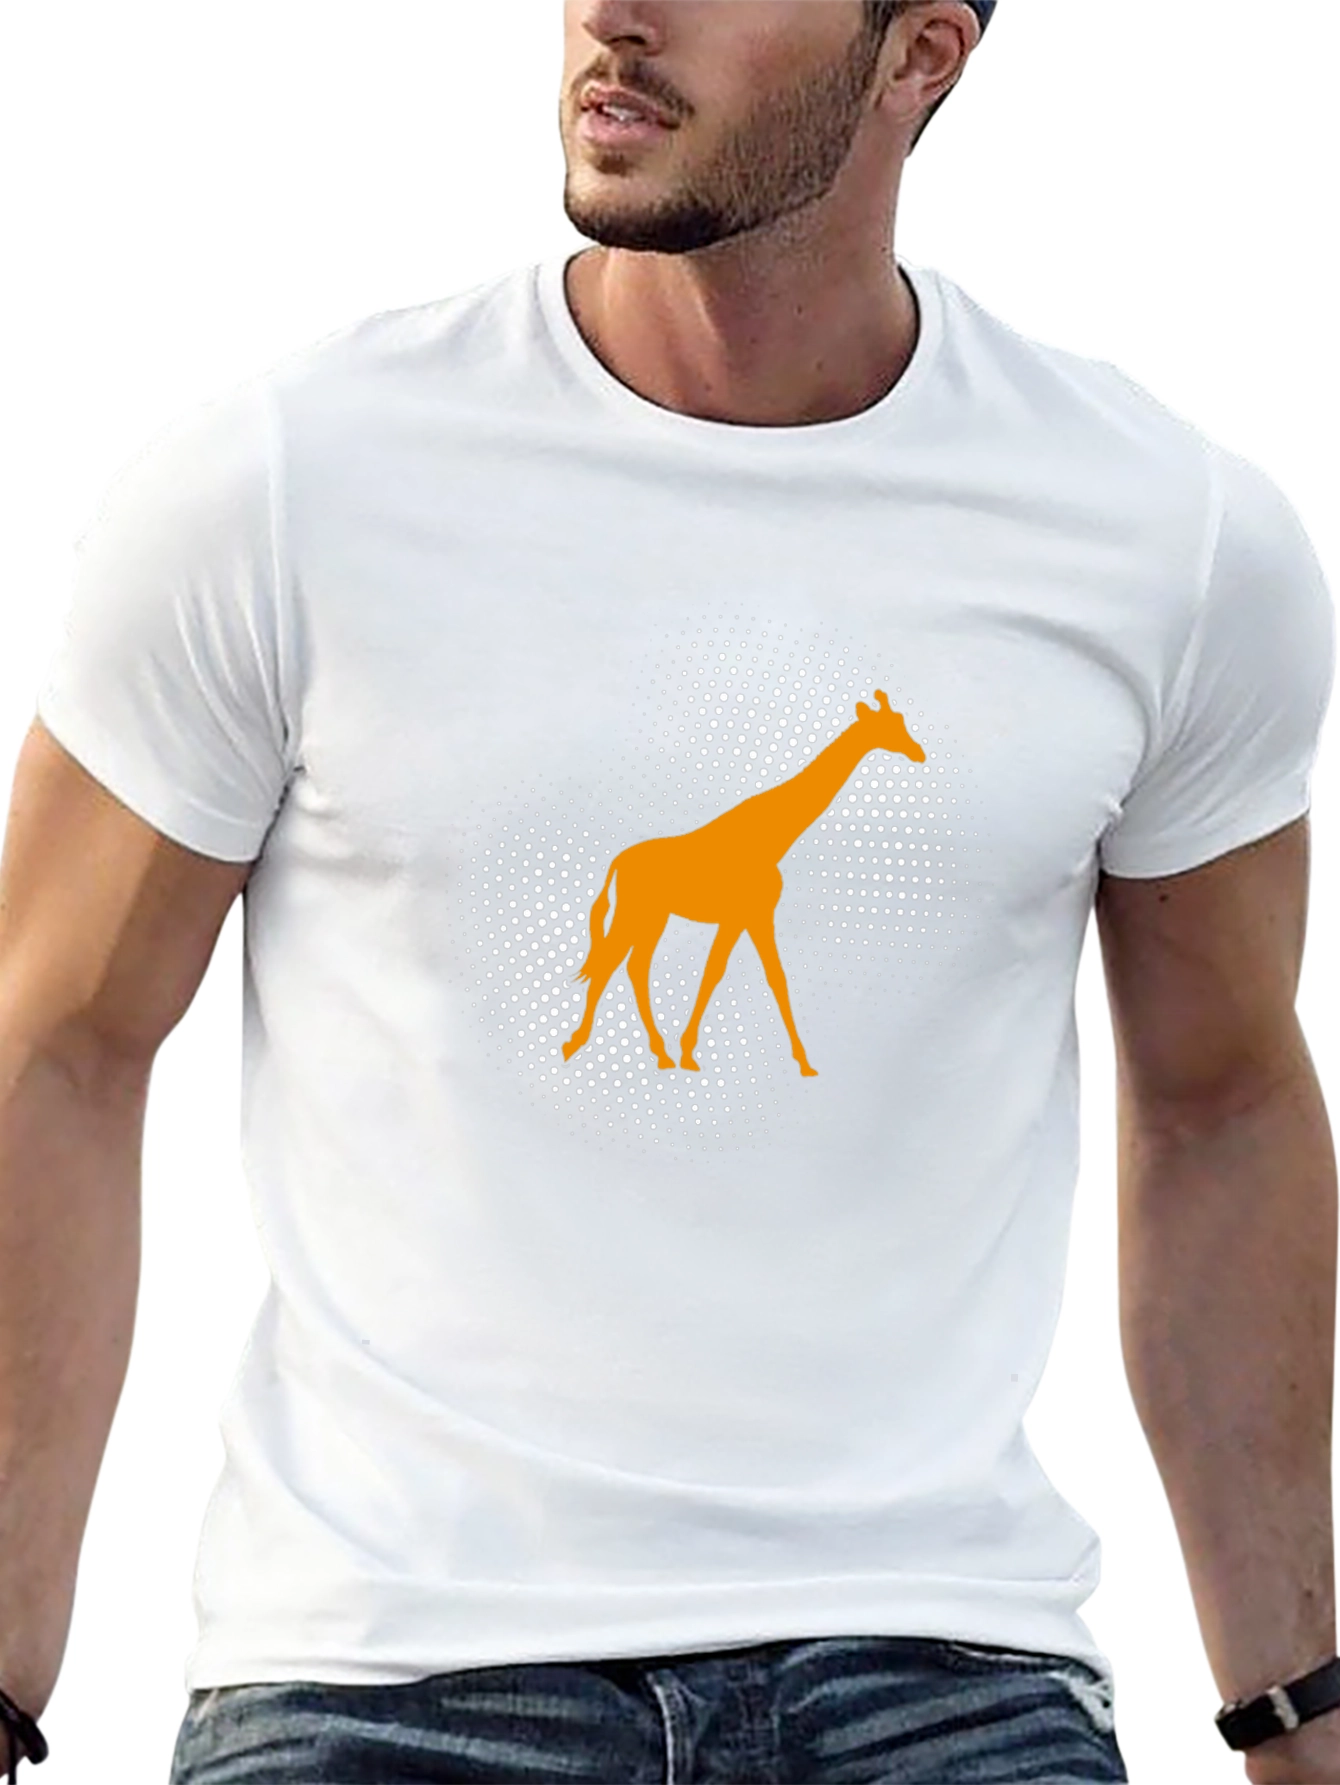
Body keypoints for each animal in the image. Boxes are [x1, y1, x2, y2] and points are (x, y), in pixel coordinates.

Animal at [562, 690, 926, 1078]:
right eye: (888, 726)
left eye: (901, 720)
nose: (919, 753)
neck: (770, 839)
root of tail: (617, 863)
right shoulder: (743, 916)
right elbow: (716, 972)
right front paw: (689, 1054)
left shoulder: (754, 916)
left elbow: (772, 977)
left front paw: (804, 1063)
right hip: (635, 912)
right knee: (610, 964)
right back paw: (574, 1045)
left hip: (655, 916)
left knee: (634, 967)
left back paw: (660, 1054)